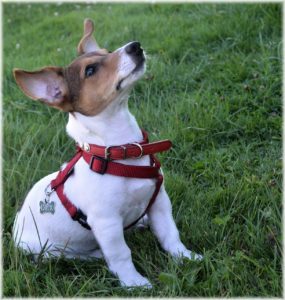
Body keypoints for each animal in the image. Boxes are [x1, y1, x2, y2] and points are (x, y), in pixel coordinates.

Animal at [11, 18, 202, 288]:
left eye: (108, 51)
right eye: (90, 71)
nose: (135, 46)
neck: (122, 150)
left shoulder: (160, 203)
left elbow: (170, 234)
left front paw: (185, 257)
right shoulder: (107, 223)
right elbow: (121, 253)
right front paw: (134, 282)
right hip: (47, 251)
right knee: (70, 256)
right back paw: (95, 256)